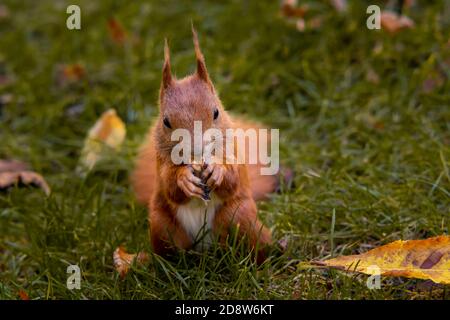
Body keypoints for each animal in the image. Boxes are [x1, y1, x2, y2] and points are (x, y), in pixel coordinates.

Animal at [113, 26, 282, 276]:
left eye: (216, 112)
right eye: (166, 122)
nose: (197, 149)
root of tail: (206, 252)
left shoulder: (233, 152)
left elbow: (233, 178)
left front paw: (218, 171)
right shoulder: (160, 162)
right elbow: (170, 185)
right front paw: (183, 178)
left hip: (239, 217)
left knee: (254, 247)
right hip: (161, 225)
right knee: (167, 256)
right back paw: (141, 263)